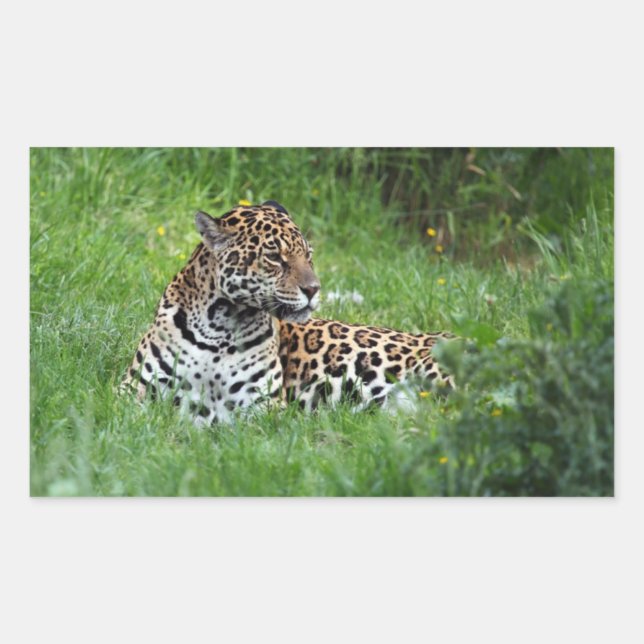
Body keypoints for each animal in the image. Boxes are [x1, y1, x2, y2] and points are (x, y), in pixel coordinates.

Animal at [121, 201, 455, 425]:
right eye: (274, 257)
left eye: (309, 255)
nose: (314, 289)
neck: (220, 326)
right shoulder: (135, 389)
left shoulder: (262, 407)